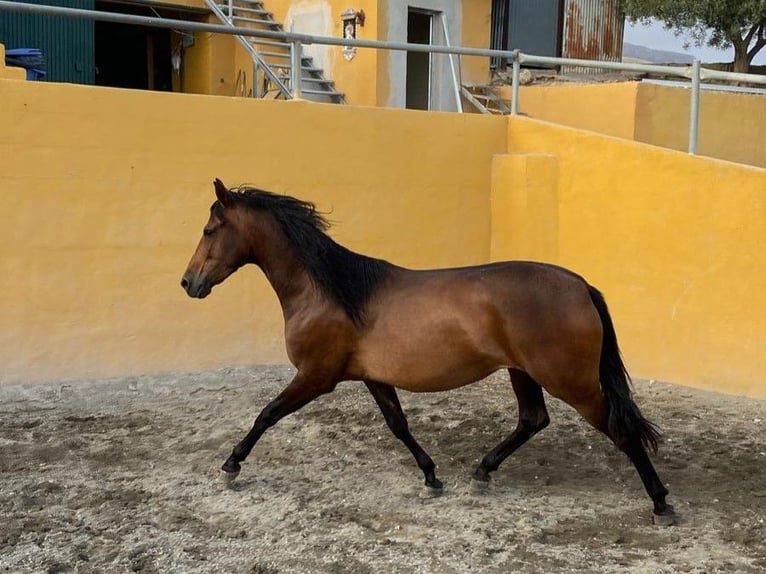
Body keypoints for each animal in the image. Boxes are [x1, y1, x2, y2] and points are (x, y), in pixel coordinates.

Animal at [180, 180, 680, 528]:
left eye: (209, 230)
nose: (189, 283)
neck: (331, 291)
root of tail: (580, 285)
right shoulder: (372, 377)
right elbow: (399, 425)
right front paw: (432, 478)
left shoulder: (315, 376)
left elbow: (267, 414)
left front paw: (231, 466)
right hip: (523, 372)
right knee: (533, 420)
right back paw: (481, 472)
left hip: (570, 380)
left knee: (619, 430)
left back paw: (661, 502)